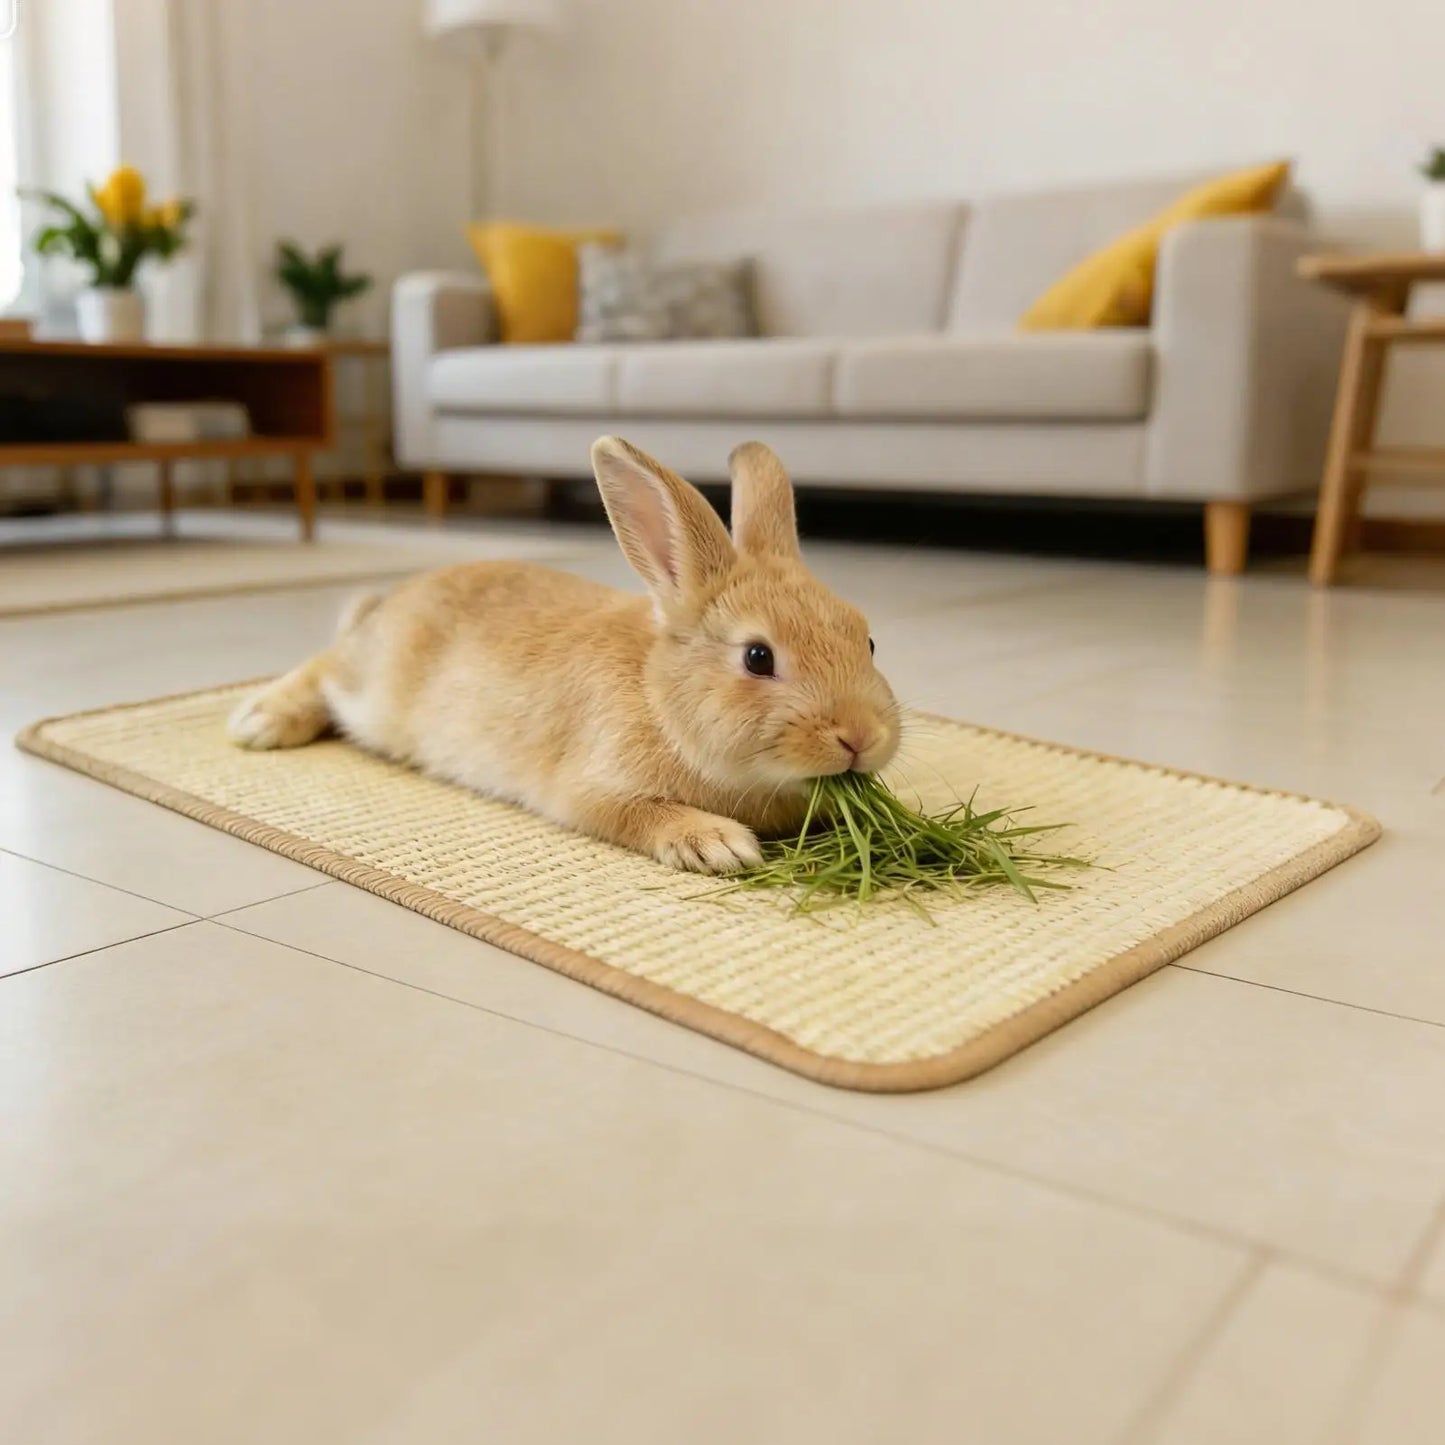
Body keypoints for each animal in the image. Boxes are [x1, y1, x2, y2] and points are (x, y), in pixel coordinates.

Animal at [227, 436, 901, 874]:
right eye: (758, 657)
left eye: (868, 640)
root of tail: (389, 602)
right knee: (323, 669)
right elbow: (634, 814)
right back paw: (258, 722)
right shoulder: (591, 790)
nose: (861, 738)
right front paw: (717, 844)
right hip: (372, 689)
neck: (661, 698)